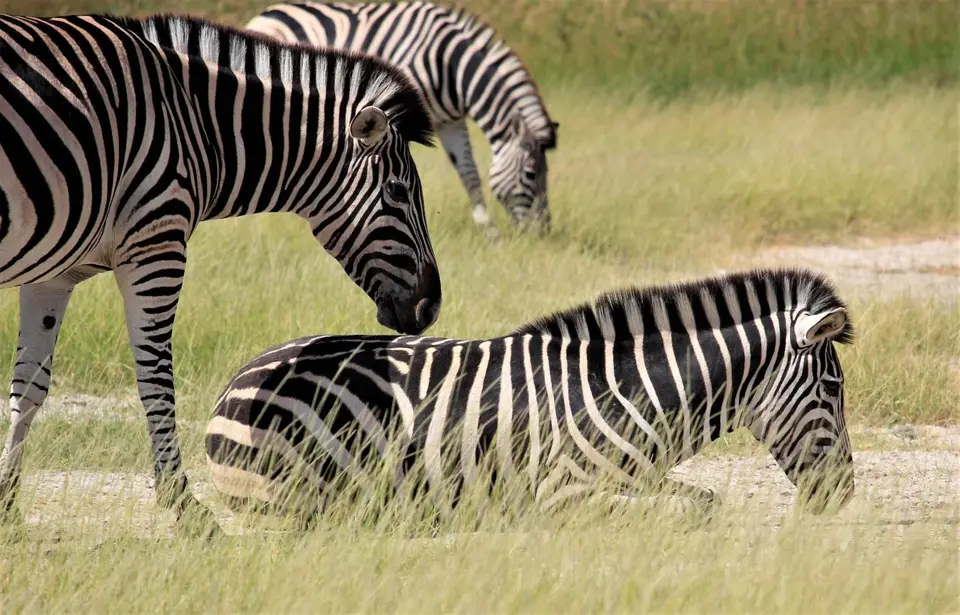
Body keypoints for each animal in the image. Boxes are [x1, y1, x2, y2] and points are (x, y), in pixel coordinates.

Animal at [0, 12, 443, 533]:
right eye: (397, 191)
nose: (431, 306)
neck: (192, 123)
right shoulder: (157, 243)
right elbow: (156, 378)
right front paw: (183, 504)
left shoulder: (53, 274)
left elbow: (29, 387)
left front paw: (7, 503)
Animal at [205, 268, 856, 526]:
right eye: (833, 389)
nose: (844, 495)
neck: (632, 393)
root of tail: (239, 377)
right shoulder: (563, 493)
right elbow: (687, 512)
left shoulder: (640, 480)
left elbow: (702, 502)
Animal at [246, 1, 560, 235]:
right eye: (531, 174)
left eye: (546, 174)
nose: (541, 233)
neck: (451, 65)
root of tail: (265, 13)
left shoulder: (450, 121)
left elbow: (469, 173)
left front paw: (489, 231)